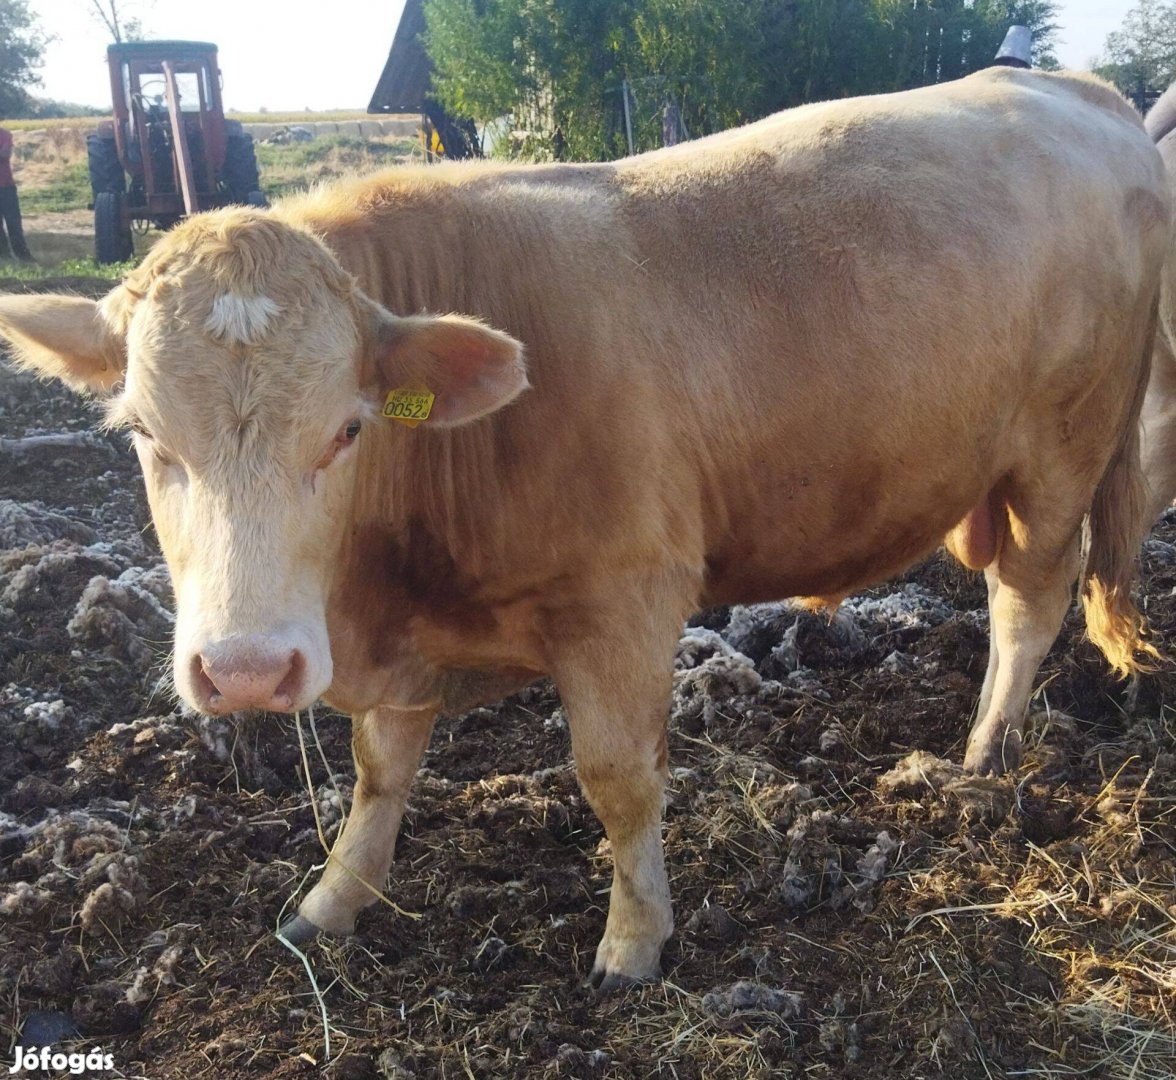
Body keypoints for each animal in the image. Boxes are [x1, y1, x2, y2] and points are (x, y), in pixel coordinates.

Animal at [0, 65, 1166, 988]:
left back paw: (982, 754)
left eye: (347, 428)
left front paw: (634, 940)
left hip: (1064, 452)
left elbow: (617, 779)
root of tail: (1071, 87)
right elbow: (380, 768)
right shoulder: (406, 640)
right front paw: (333, 899)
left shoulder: (625, 599)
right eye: (142, 431)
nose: (244, 671)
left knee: (1028, 603)